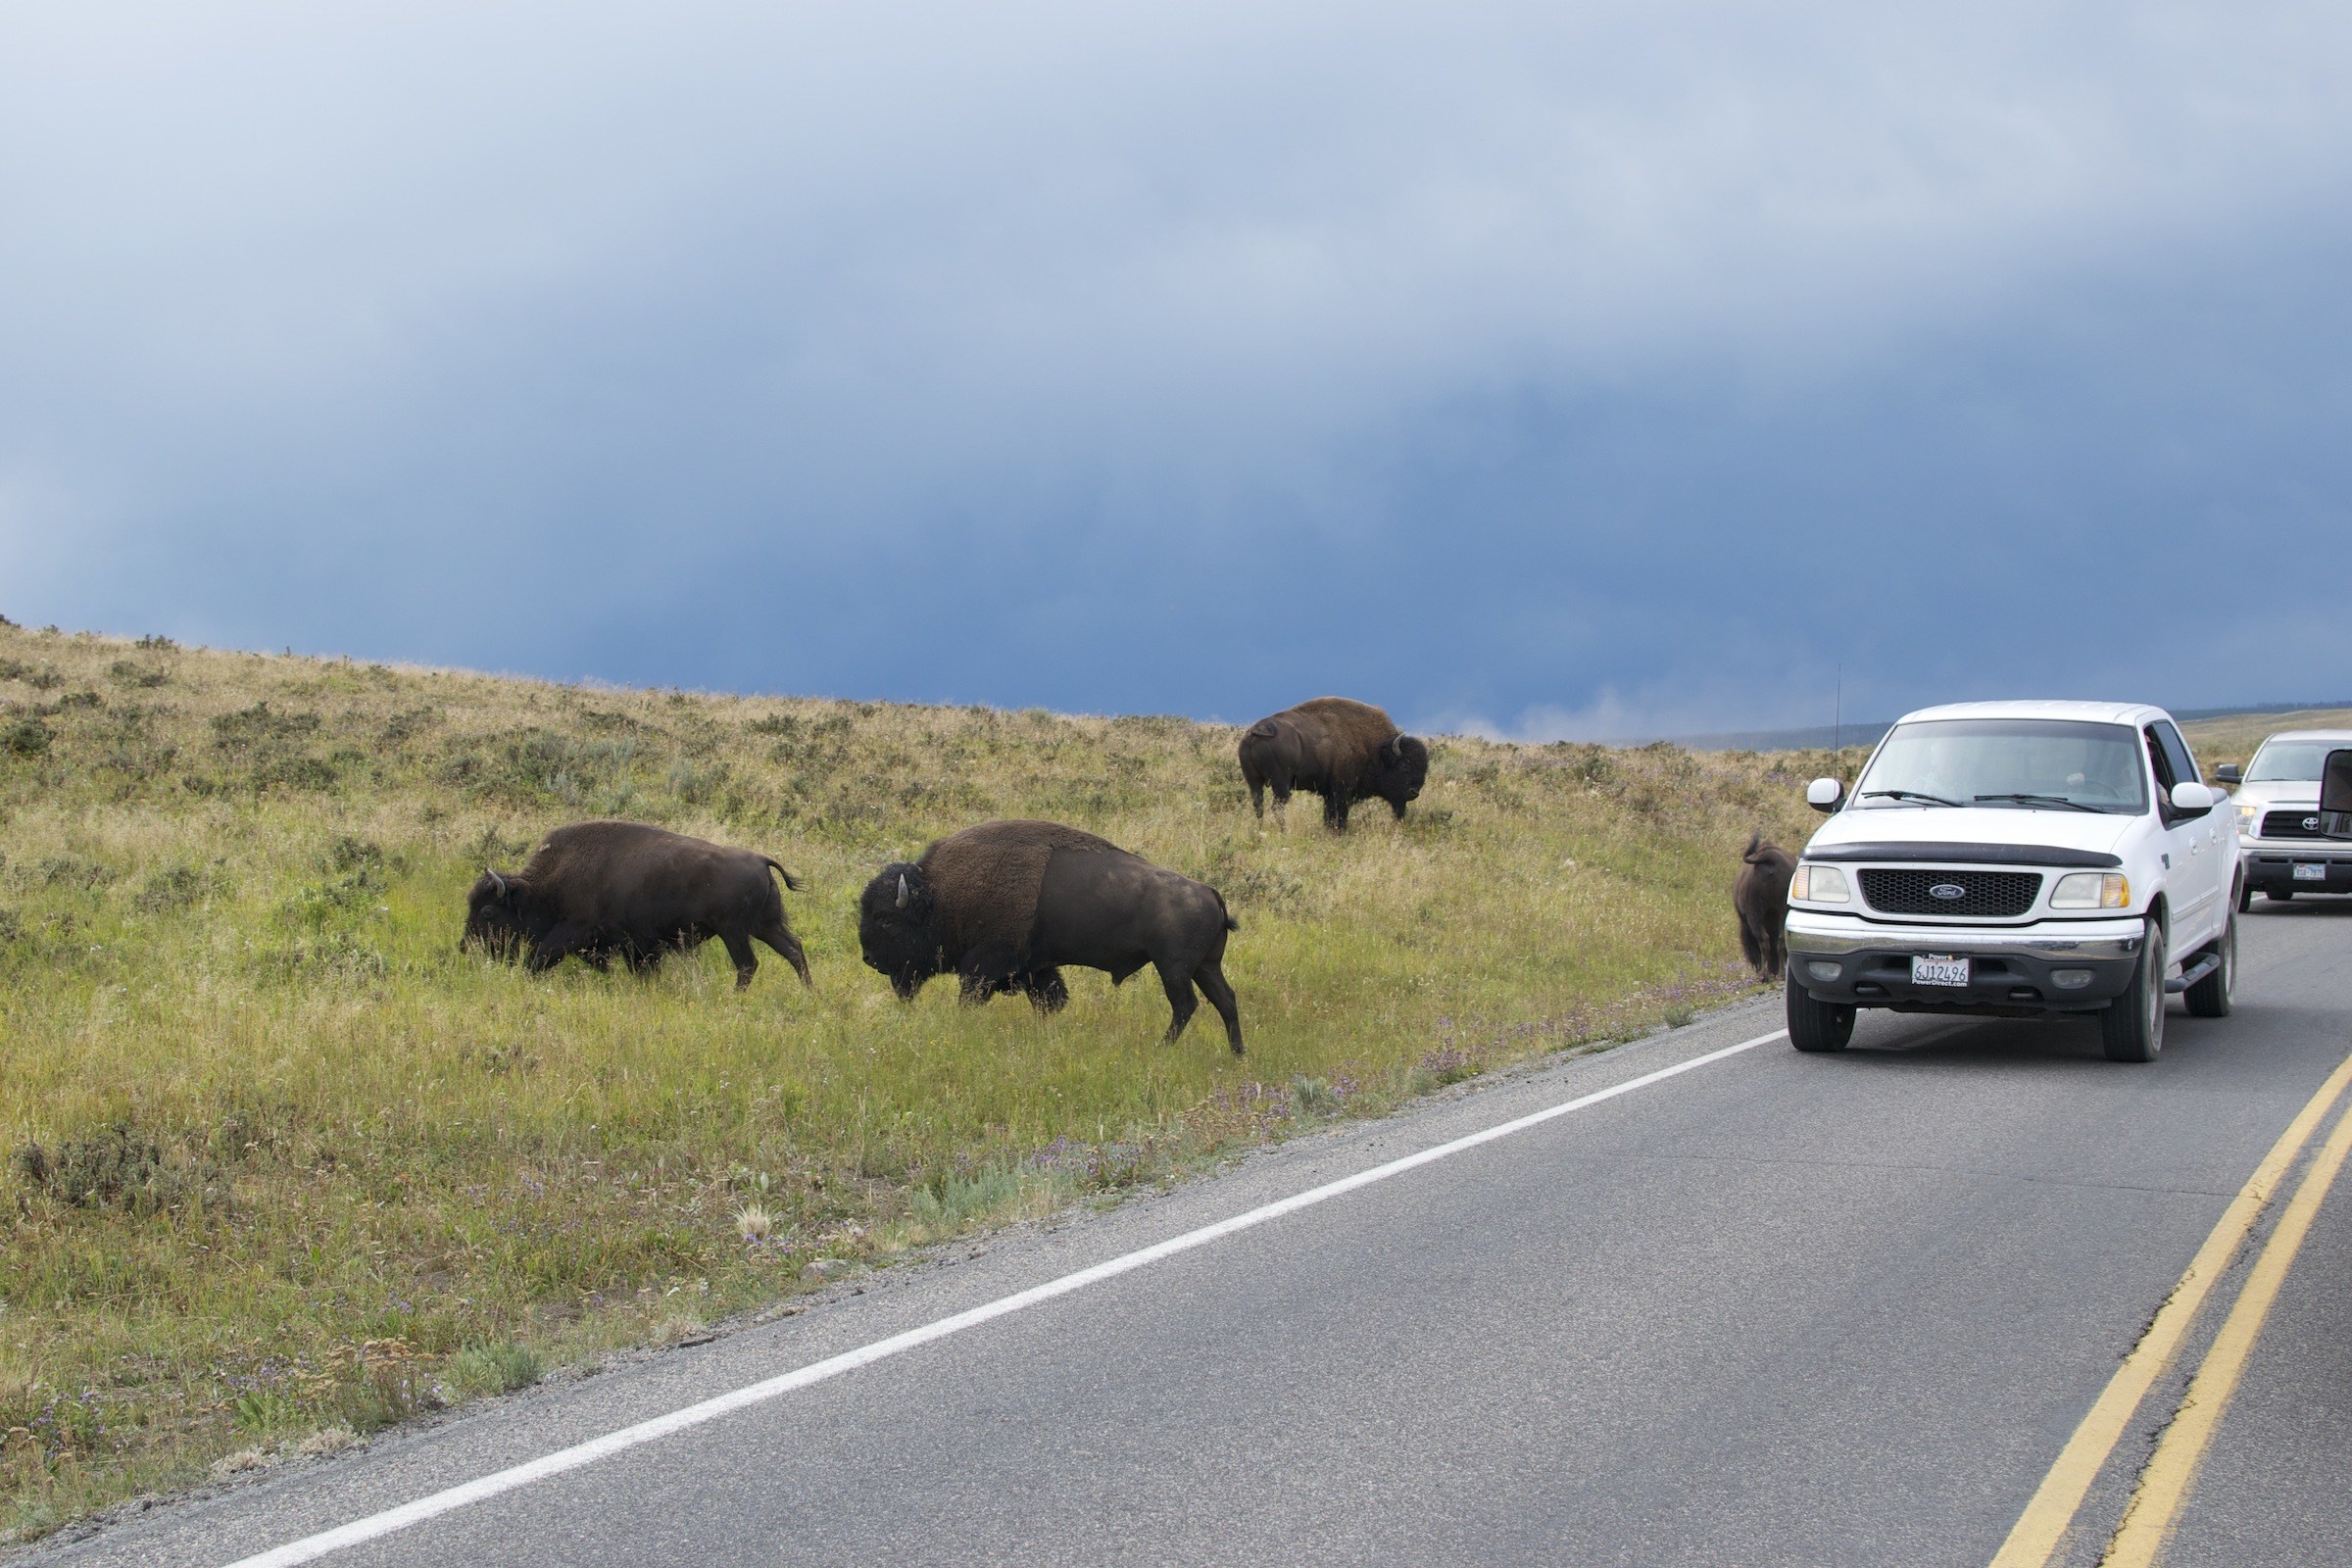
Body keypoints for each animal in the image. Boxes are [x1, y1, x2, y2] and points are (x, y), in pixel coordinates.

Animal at [462, 820, 811, 989]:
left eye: (488, 911)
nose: (466, 946)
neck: (544, 887)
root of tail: (761, 860)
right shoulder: (637, 947)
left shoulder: (573, 931)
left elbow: (537, 959)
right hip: (765, 926)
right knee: (793, 950)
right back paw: (808, 991)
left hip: (734, 931)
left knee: (748, 965)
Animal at [857, 818, 1244, 1052]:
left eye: (887, 920)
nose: (869, 959)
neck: (942, 895)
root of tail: (1209, 891)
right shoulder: (1036, 968)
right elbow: (1050, 1000)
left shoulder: (985, 964)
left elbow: (970, 997)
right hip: (1205, 966)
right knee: (1225, 1000)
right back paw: (1237, 1053)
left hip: (1174, 968)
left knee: (1185, 1005)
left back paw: (1163, 1047)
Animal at [1238, 696, 1429, 830]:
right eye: (1404, 766)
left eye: (1424, 769)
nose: (1414, 792)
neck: (1375, 750)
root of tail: (1255, 732)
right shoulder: (1341, 790)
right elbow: (1339, 814)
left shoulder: (1329, 793)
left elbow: (1329, 815)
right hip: (1281, 784)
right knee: (1277, 807)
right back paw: (1283, 831)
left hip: (1254, 782)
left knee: (1258, 805)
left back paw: (1262, 829)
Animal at [1734, 831, 1795, 981]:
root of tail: (1769, 858)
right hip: (1782, 912)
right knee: (1779, 940)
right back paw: (1779, 974)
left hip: (1755, 914)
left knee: (1764, 941)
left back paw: (1764, 976)